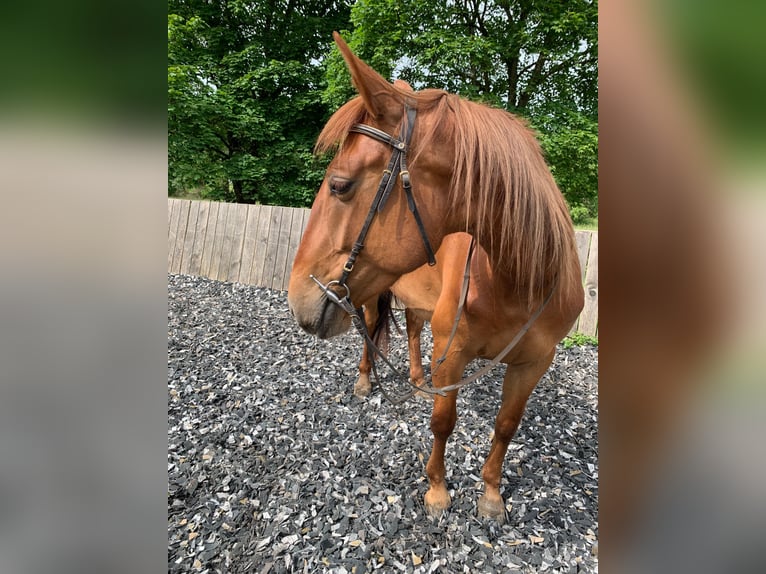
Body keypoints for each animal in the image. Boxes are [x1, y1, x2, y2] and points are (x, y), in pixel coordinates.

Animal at [290, 32, 588, 528]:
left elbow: (506, 425)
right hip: (373, 292)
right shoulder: (453, 355)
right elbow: (443, 422)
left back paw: (413, 377)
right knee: (369, 331)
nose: (298, 296)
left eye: (339, 186)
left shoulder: (534, 363)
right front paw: (437, 491)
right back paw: (366, 381)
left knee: (412, 329)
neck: (516, 282)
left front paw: (491, 494)